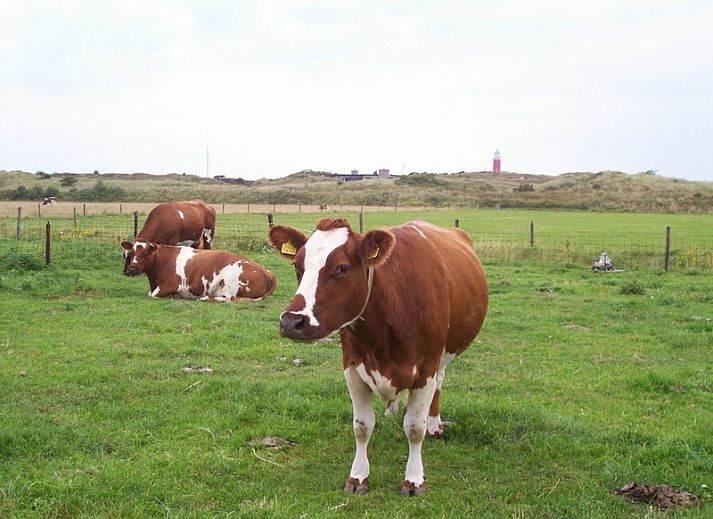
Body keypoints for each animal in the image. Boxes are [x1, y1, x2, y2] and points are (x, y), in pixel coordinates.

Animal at [120, 240, 276, 302]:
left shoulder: (171, 285)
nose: (132, 268)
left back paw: (204, 298)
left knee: (228, 299)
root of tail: (266, 271)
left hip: (229, 282)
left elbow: (153, 295)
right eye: (131, 252)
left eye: (146, 252)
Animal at [269, 218, 488, 496]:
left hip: (442, 357)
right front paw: (358, 477)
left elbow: (414, 428)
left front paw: (414, 480)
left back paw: (435, 426)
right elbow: (362, 426)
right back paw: (391, 411)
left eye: (342, 268)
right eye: (297, 266)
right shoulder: (352, 368)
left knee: (439, 383)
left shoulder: (426, 369)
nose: (291, 321)